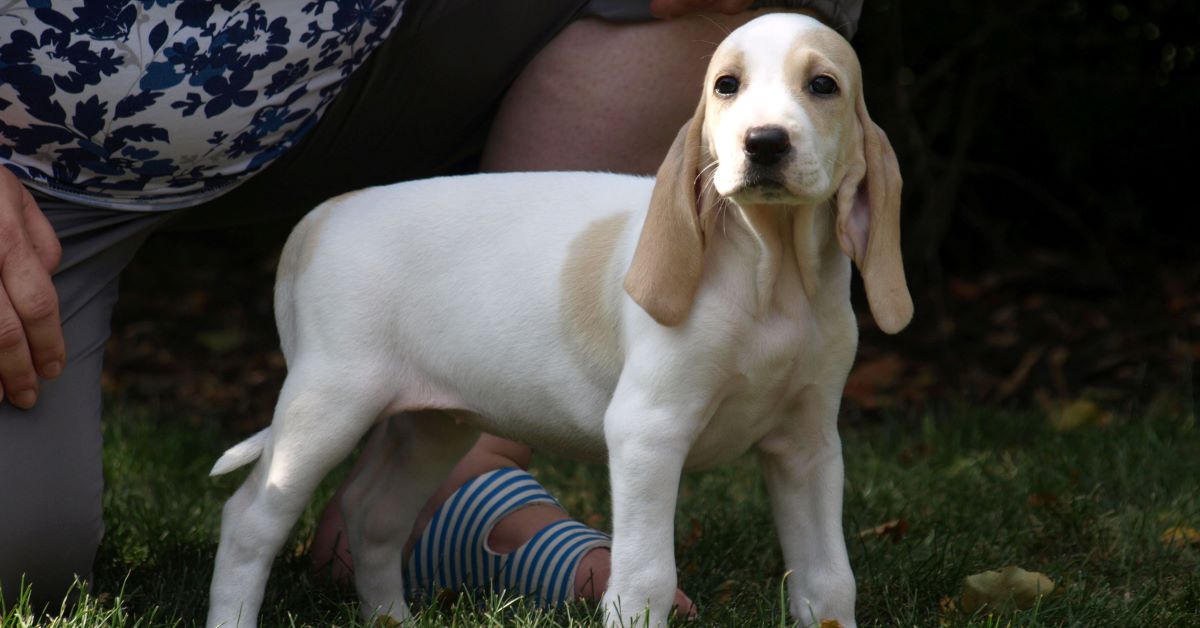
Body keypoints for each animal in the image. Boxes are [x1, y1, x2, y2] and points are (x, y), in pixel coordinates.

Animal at [206, 11, 907, 628]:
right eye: (725, 85)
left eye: (823, 86)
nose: (763, 143)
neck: (771, 279)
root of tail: (321, 217)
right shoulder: (648, 434)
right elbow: (646, 580)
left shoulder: (808, 447)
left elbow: (828, 581)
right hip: (327, 405)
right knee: (251, 520)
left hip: (429, 424)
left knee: (371, 513)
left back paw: (390, 618)